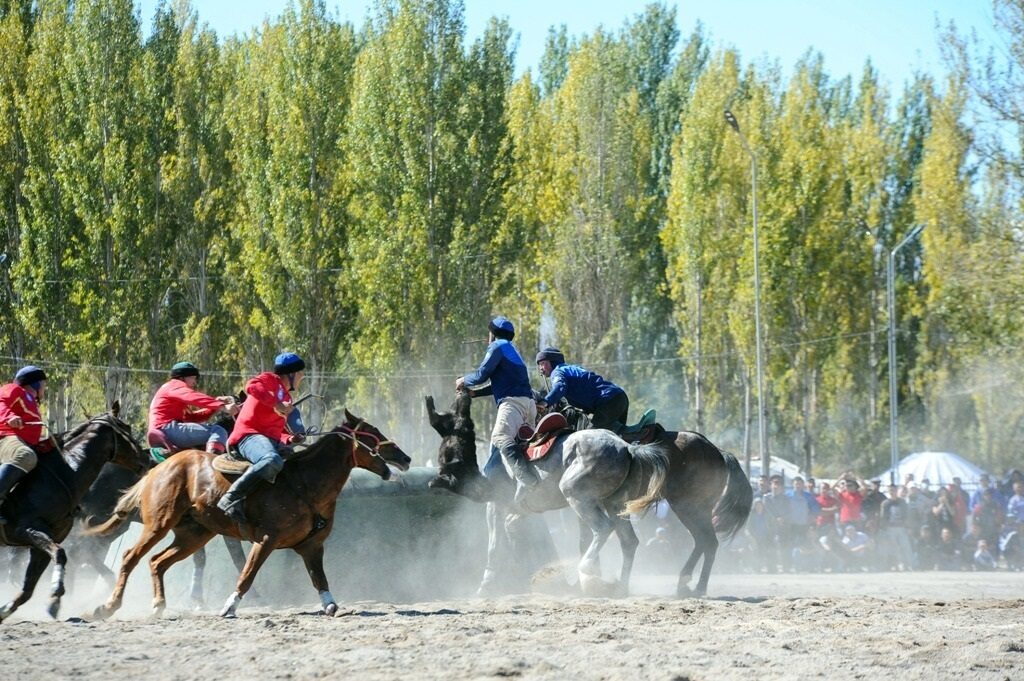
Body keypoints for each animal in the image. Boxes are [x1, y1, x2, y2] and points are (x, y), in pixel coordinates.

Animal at [0, 403, 149, 622]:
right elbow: (61, 555)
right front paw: (56, 596)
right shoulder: (28, 530)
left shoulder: (42, 546)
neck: (63, 474)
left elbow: (29, 587)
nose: (147, 459)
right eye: (126, 429)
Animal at [84, 405, 411, 618]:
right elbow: (247, 573)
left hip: (194, 535)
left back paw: (157, 606)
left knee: (157, 562)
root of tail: (156, 469)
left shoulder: (311, 546)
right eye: (370, 434)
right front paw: (230, 606)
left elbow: (319, 579)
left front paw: (332, 606)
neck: (304, 483)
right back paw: (107, 606)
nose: (405, 458)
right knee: (130, 557)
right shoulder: (264, 540)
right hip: (158, 524)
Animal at [423, 393, 753, 593]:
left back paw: (690, 586)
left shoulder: (501, 503)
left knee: (705, 541)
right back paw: (671, 584)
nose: (460, 397)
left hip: (685, 505)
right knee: (692, 541)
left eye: (451, 423)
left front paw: (489, 583)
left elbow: (495, 542)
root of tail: (718, 451)